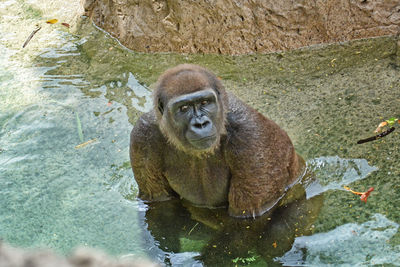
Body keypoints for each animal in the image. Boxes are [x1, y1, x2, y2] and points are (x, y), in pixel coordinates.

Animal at [130, 64, 304, 218]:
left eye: (205, 102)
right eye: (184, 108)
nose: (201, 124)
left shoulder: (250, 136)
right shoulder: (143, 136)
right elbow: (160, 205)